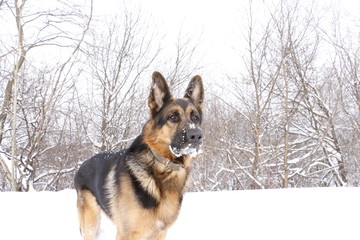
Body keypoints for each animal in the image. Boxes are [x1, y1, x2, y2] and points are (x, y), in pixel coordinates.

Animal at [74, 71, 204, 240]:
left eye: (195, 118)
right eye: (173, 117)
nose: (197, 136)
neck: (163, 166)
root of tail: (81, 166)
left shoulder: (159, 233)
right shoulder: (127, 234)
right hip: (90, 223)